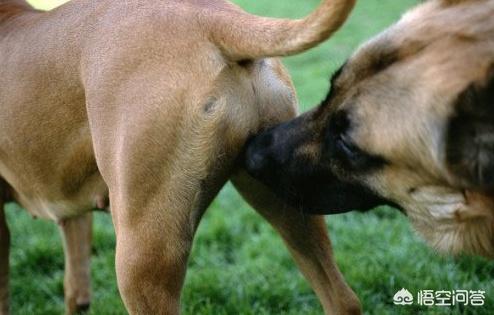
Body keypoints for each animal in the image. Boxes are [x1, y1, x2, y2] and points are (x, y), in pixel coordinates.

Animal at [0, 0, 364, 315]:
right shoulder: (71, 212)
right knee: (343, 299)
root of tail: (211, 15)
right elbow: (76, 287)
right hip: (286, 201)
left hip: (141, 255)